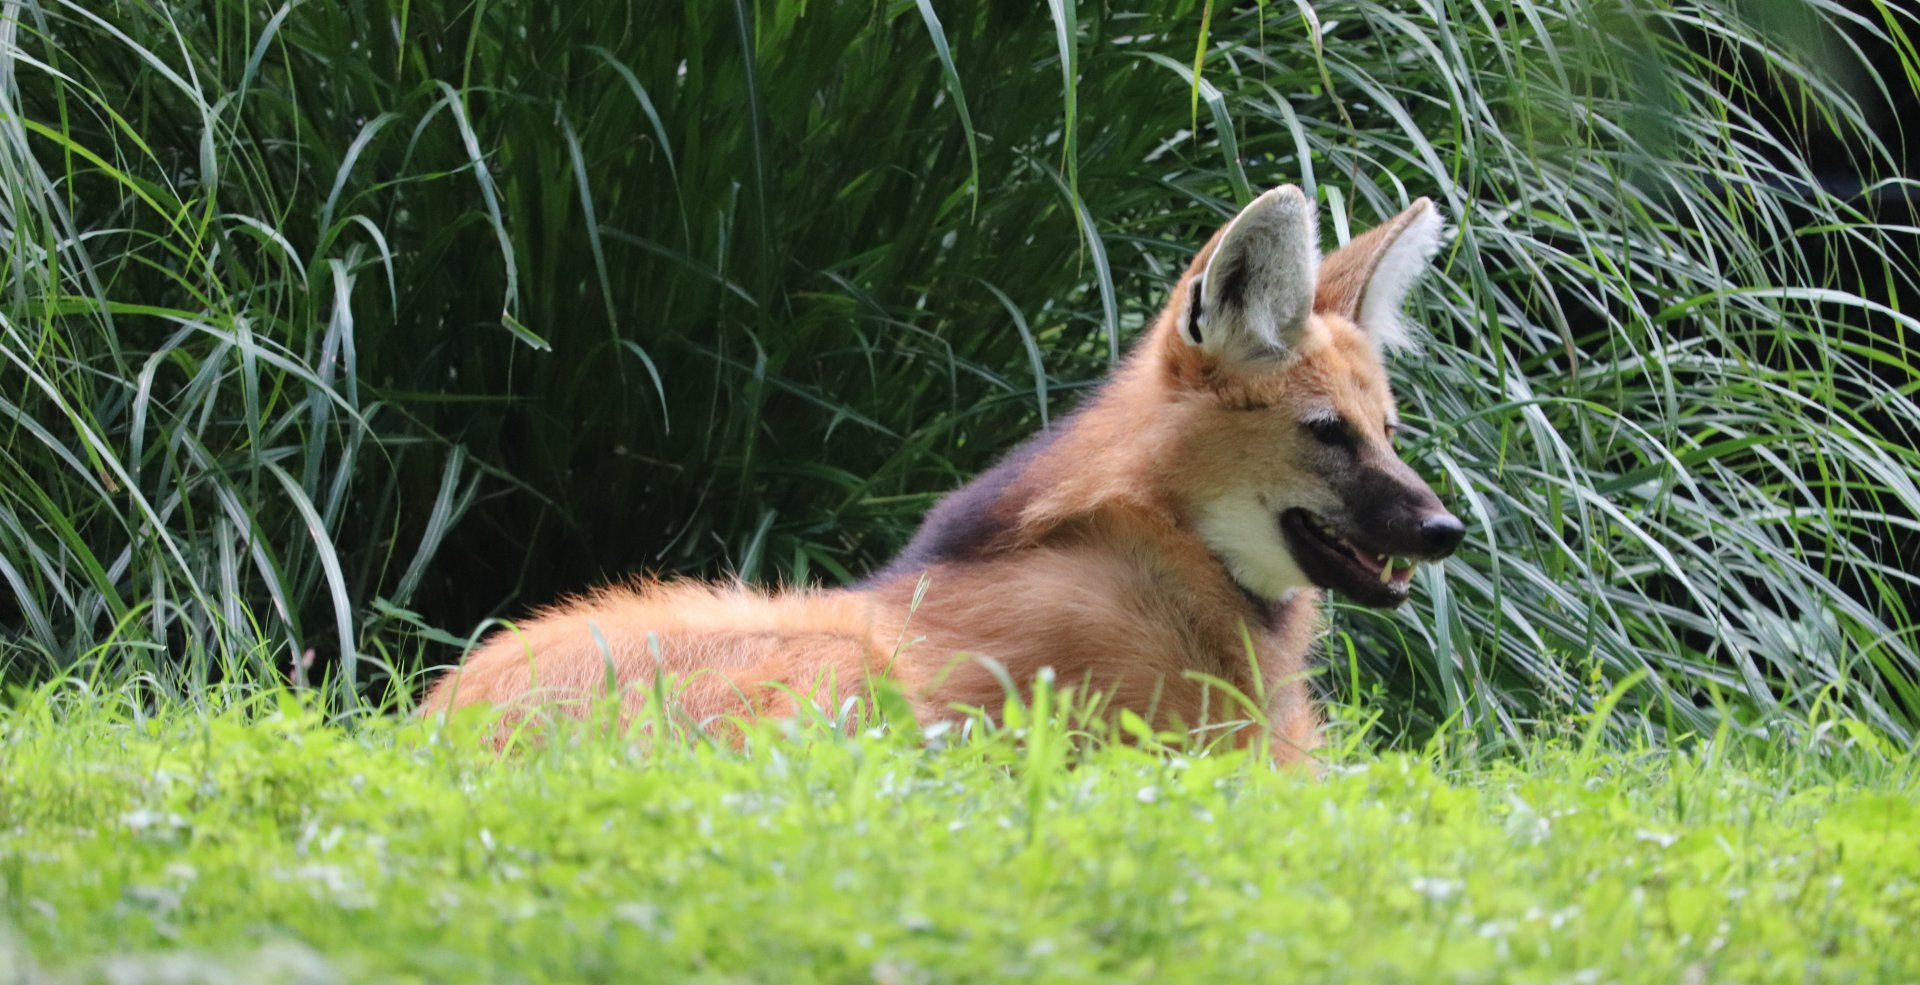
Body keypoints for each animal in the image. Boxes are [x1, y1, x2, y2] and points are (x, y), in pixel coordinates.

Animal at [421, 185, 1463, 762]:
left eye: (1387, 431)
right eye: (1327, 434)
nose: (1444, 530)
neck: (1179, 556)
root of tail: (428, 727)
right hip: (838, 663)